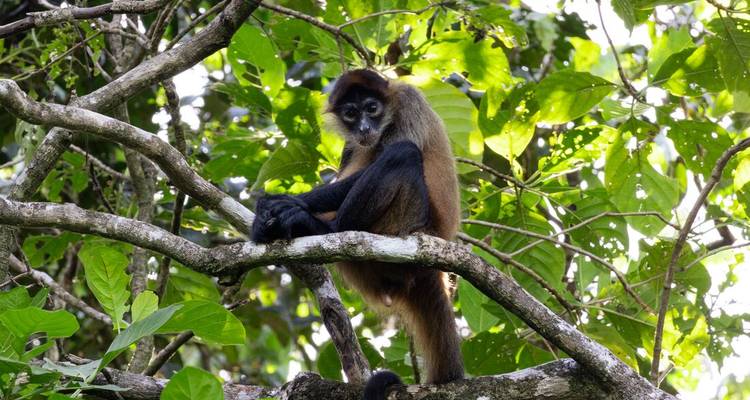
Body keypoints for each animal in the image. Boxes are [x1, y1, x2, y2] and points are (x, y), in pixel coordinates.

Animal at [251, 69, 463, 399]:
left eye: (372, 108)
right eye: (351, 114)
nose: (364, 127)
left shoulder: (409, 102)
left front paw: (288, 204)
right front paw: (266, 216)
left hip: (409, 222)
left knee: (402, 153)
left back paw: (318, 227)